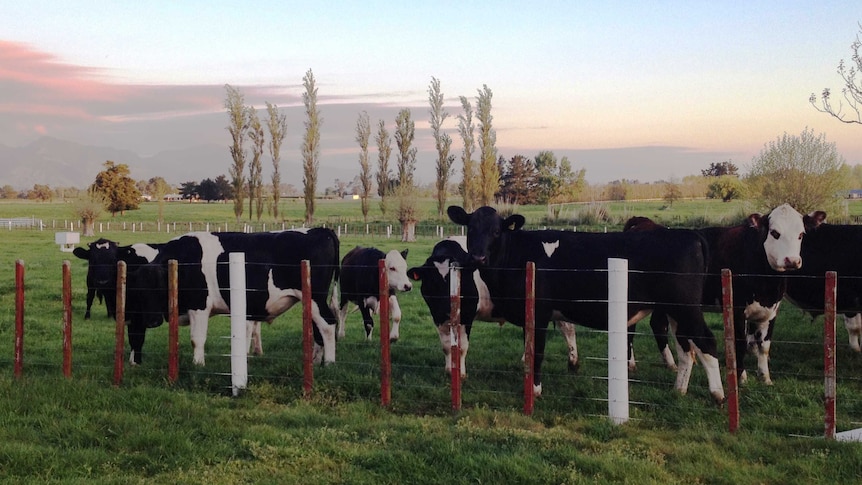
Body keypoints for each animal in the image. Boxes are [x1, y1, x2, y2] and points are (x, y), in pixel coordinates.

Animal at [125, 229, 340, 364]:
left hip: (315, 297)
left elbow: (197, 338)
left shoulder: (199, 305)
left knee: (328, 325)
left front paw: (198, 363)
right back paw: (317, 360)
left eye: (160, 288)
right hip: (311, 302)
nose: (152, 321)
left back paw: (329, 362)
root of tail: (319, 230)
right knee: (318, 329)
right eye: (140, 292)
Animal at [406, 236, 580, 376]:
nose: (446, 306)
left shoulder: (466, 314)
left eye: (455, 280)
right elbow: (447, 346)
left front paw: (460, 374)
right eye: (432, 280)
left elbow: (461, 347)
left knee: (568, 328)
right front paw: (449, 371)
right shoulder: (437, 316)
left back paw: (573, 363)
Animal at [448, 204, 724, 400]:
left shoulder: (539, 313)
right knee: (686, 350)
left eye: (496, 231)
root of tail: (689, 235)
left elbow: (536, 352)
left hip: (686, 308)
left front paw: (534, 391)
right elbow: (528, 351)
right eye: (470, 229)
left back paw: (718, 395)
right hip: (675, 311)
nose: (478, 257)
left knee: (707, 342)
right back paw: (679, 390)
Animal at [624, 202, 808, 384]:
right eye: (775, 233)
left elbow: (764, 345)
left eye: (801, 235)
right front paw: (741, 377)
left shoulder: (771, 311)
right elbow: (739, 343)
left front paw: (765, 378)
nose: (792, 261)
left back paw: (670, 364)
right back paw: (631, 364)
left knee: (657, 325)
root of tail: (645, 223)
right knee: (631, 329)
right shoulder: (736, 310)